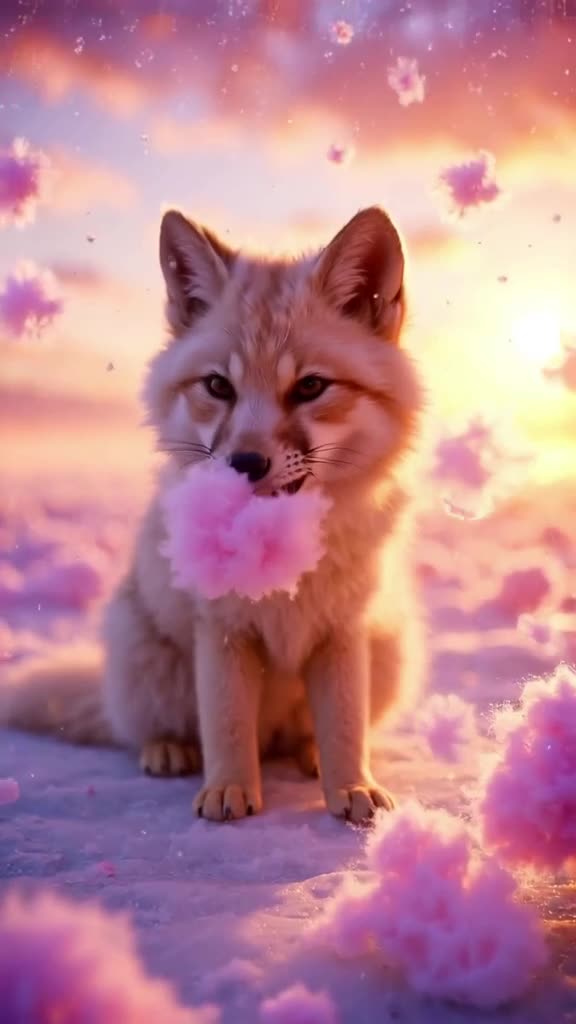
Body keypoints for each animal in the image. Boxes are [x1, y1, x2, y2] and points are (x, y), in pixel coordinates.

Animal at [0, 205, 426, 824]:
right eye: (219, 386)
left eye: (311, 386)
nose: (245, 462)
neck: (280, 571)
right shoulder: (221, 630)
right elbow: (225, 724)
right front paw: (228, 791)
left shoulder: (341, 631)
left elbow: (345, 728)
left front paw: (352, 789)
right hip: (145, 655)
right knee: (149, 729)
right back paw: (168, 750)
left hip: (388, 654)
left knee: (304, 735)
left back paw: (306, 752)